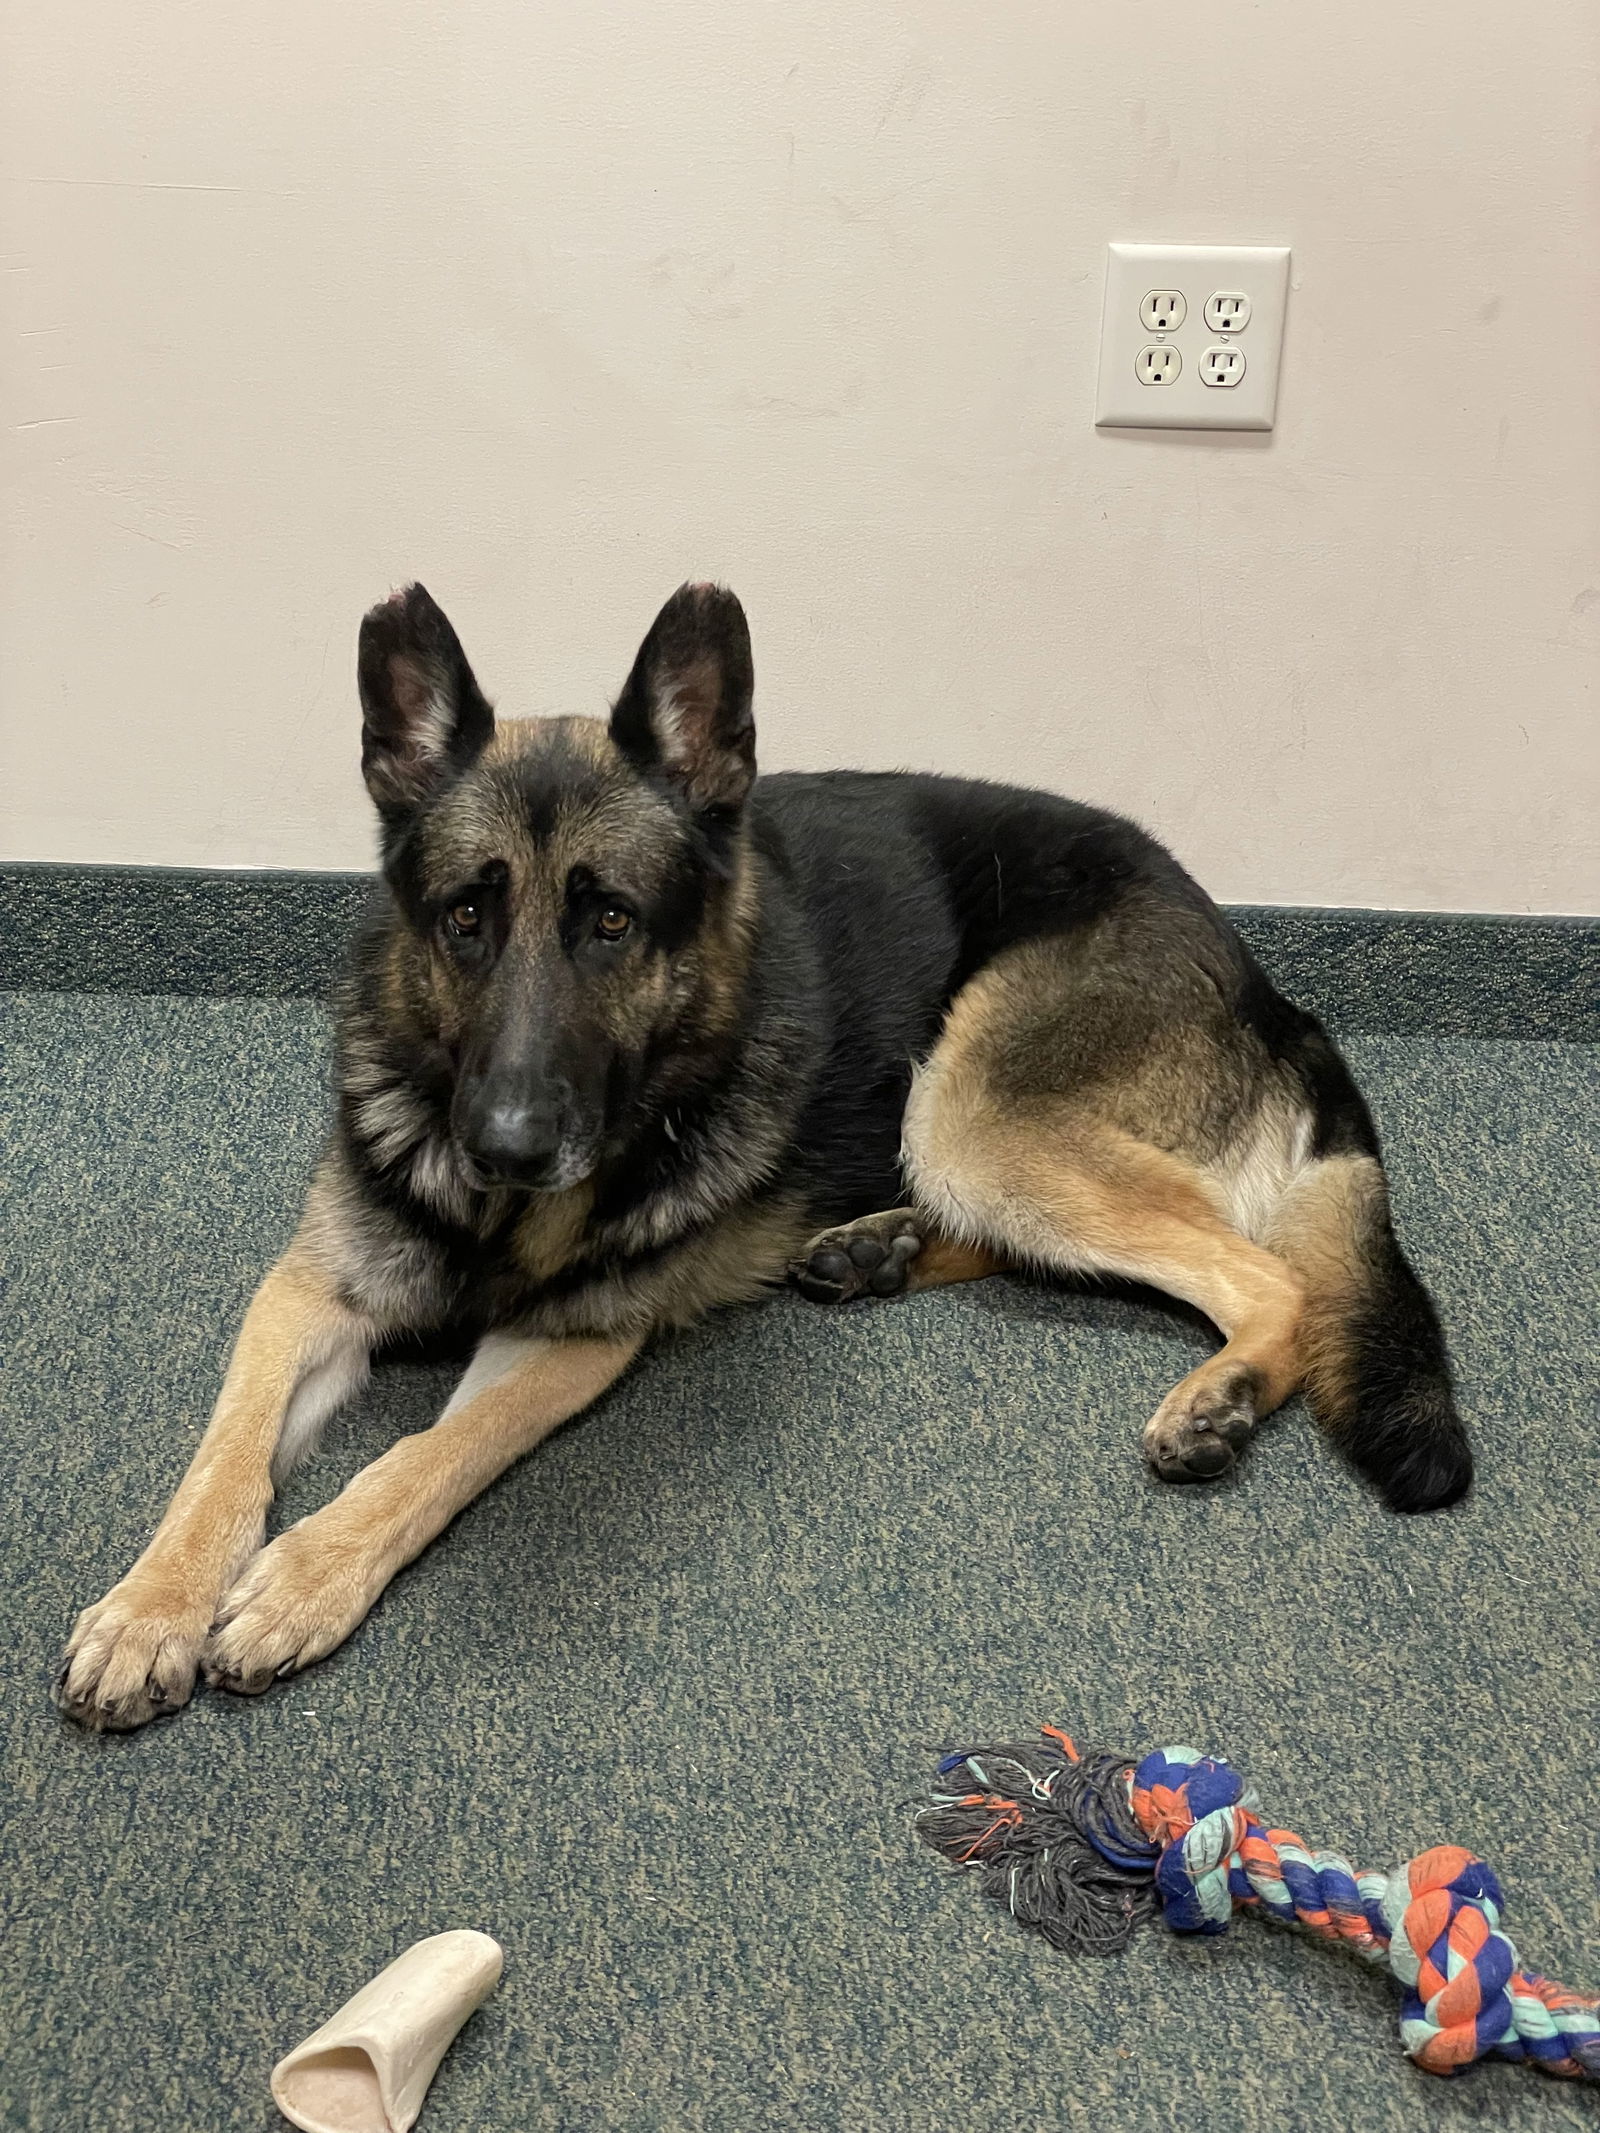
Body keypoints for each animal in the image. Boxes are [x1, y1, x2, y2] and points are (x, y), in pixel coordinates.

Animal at [53, 584, 1476, 1731]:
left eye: (611, 924)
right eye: (465, 918)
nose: (509, 1144)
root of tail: (1261, 974)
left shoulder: (564, 1345)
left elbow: (421, 1462)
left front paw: (301, 1578)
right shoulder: (307, 1294)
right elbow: (222, 1460)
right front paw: (151, 1609)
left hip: (966, 1106)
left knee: (1265, 1274)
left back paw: (1217, 1392)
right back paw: (871, 1248)